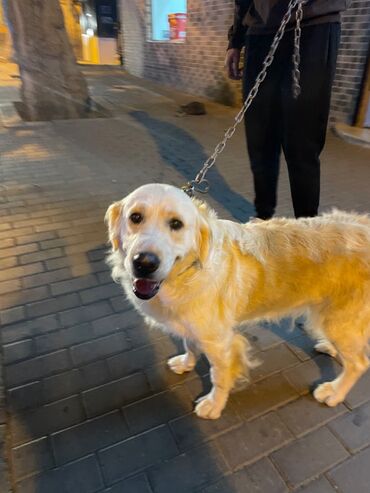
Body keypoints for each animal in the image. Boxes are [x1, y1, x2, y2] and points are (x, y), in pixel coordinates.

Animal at [104, 184, 370, 418]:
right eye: (135, 217)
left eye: (176, 224)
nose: (144, 263)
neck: (187, 272)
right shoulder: (195, 325)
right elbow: (190, 345)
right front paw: (186, 363)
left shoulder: (220, 341)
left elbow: (219, 377)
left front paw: (213, 405)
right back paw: (330, 347)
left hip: (339, 319)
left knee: (358, 363)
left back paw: (334, 392)